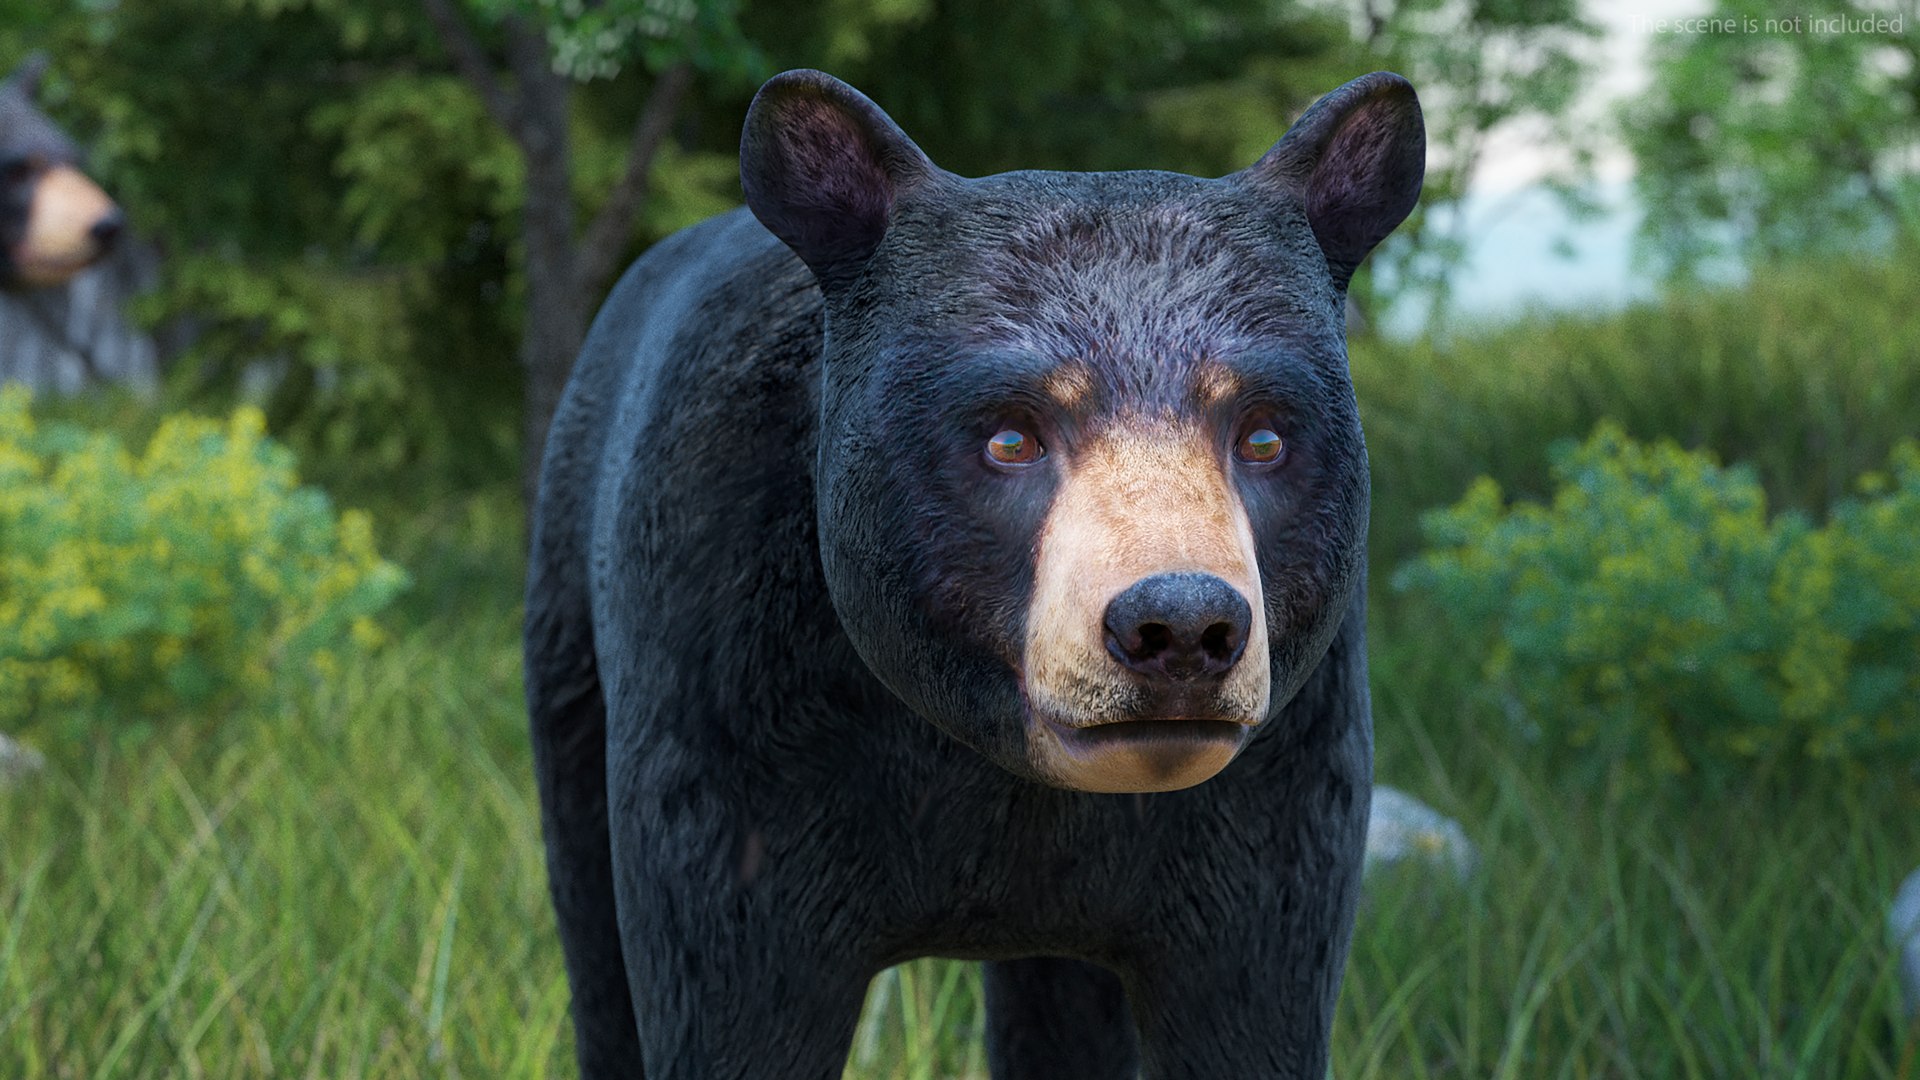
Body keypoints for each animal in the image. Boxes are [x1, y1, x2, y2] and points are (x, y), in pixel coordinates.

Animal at [525, 68, 1423, 1079]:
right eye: (1010, 437)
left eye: (1263, 435)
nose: (1183, 625)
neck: (995, 764)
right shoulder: (731, 712)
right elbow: (727, 987)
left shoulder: (1281, 785)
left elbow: (1255, 994)